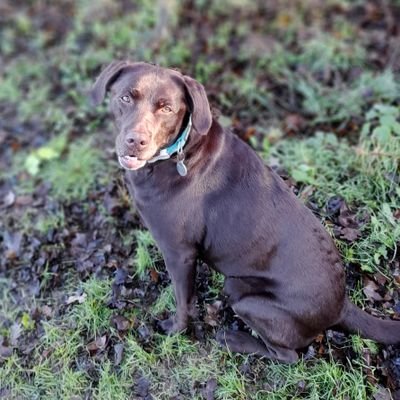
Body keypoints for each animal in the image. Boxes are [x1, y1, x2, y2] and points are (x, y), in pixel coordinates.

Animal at [91, 61, 400, 362]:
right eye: (126, 97)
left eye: (166, 109)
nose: (135, 141)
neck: (179, 154)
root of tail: (341, 305)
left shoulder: (180, 254)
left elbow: (183, 303)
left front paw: (175, 330)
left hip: (241, 293)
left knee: (288, 356)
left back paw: (234, 340)